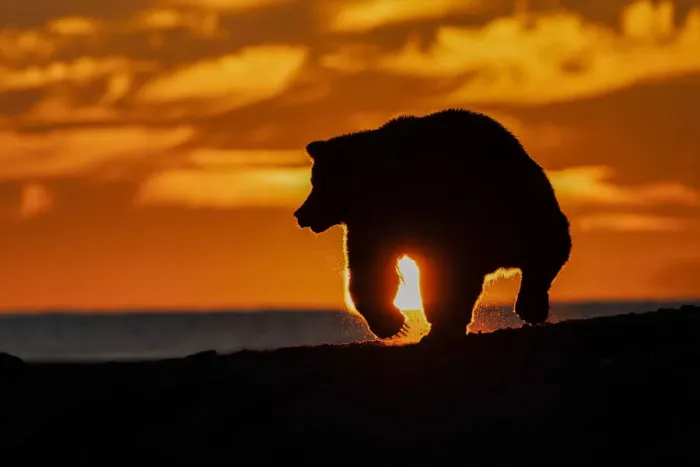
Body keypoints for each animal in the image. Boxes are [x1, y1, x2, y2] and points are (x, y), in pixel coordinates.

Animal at [294, 108, 572, 343]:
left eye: (316, 182)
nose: (301, 215)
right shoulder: (373, 225)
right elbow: (370, 268)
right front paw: (394, 324)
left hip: (514, 204)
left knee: (546, 244)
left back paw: (528, 307)